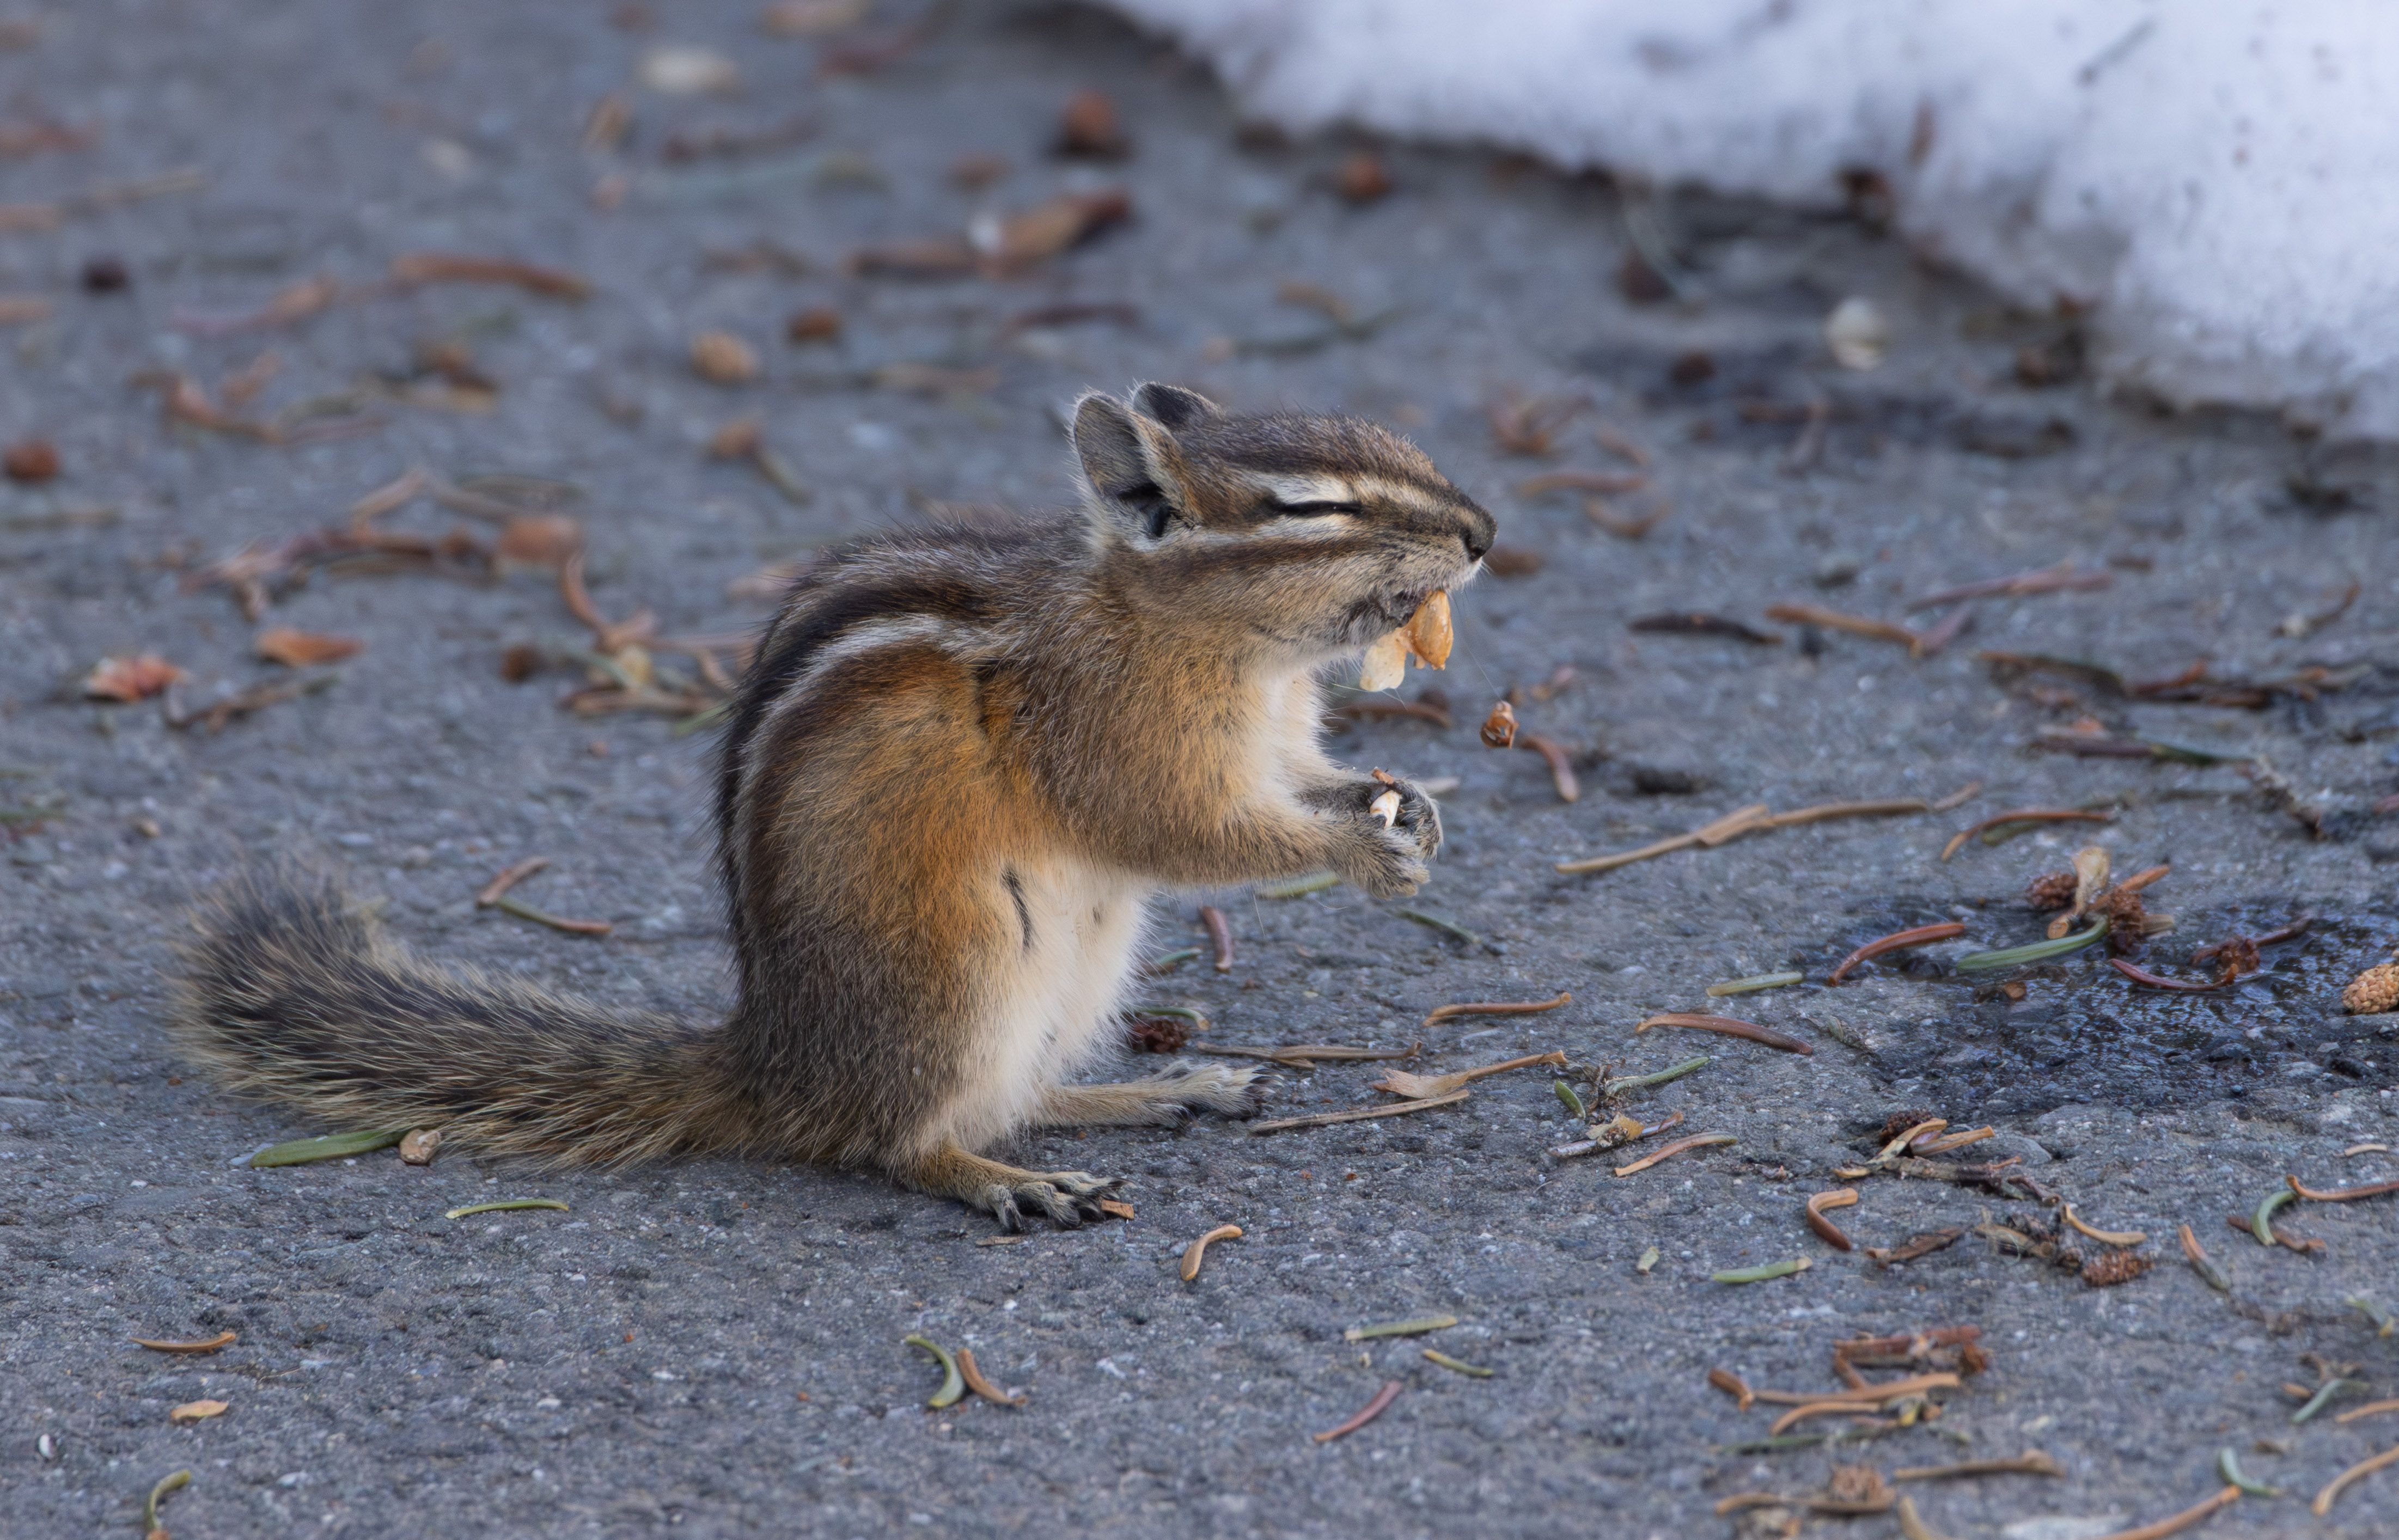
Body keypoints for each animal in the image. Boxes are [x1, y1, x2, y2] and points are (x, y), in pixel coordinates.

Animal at [172, 383, 1496, 1229]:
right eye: (1310, 508)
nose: (1485, 531)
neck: (1221, 645)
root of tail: (776, 1061)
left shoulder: (1274, 738)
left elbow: (1302, 783)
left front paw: (1406, 807)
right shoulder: (1115, 742)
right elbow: (1189, 833)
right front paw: (1361, 853)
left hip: (1081, 969)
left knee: (1025, 1094)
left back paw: (1161, 1088)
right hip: (961, 969)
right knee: (897, 1138)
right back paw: (998, 1179)